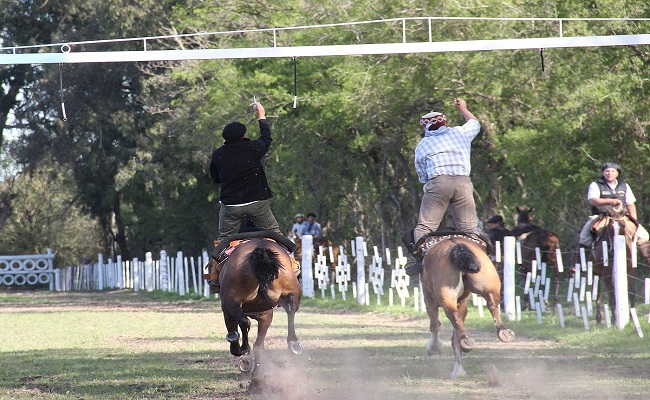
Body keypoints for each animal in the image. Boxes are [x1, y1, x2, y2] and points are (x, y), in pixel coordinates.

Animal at [209, 234, 302, 390]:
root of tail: (261, 249)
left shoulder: (227, 310)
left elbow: (234, 333)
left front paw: (238, 350)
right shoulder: (266, 314)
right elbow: (259, 345)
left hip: (231, 302)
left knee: (244, 322)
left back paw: (244, 352)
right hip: (290, 290)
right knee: (291, 307)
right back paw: (292, 342)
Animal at [418, 234, 512, 378]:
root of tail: (458, 247)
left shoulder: (429, 298)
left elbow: (435, 325)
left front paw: (434, 348)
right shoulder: (461, 303)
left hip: (445, 296)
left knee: (452, 315)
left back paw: (465, 341)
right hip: (489, 286)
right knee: (492, 305)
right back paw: (502, 331)